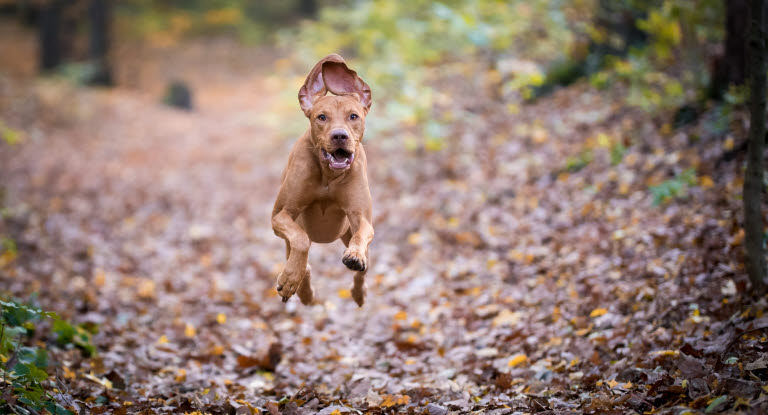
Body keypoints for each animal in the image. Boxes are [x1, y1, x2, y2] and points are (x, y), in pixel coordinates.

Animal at [272, 54, 376, 306]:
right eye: (321, 117)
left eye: (353, 116)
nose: (339, 135)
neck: (329, 176)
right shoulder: (280, 215)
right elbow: (301, 240)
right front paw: (291, 279)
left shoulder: (361, 217)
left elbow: (363, 232)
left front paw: (354, 255)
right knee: (302, 258)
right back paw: (302, 289)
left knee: (363, 269)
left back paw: (359, 291)